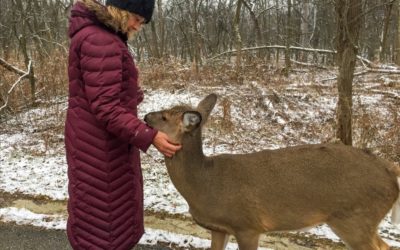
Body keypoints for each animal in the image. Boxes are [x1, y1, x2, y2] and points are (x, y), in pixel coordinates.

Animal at [145, 94, 400, 250]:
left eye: (165, 116)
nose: (145, 115)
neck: (204, 183)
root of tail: (389, 169)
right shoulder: (218, 228)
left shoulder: (247, 225)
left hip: (355, 217)